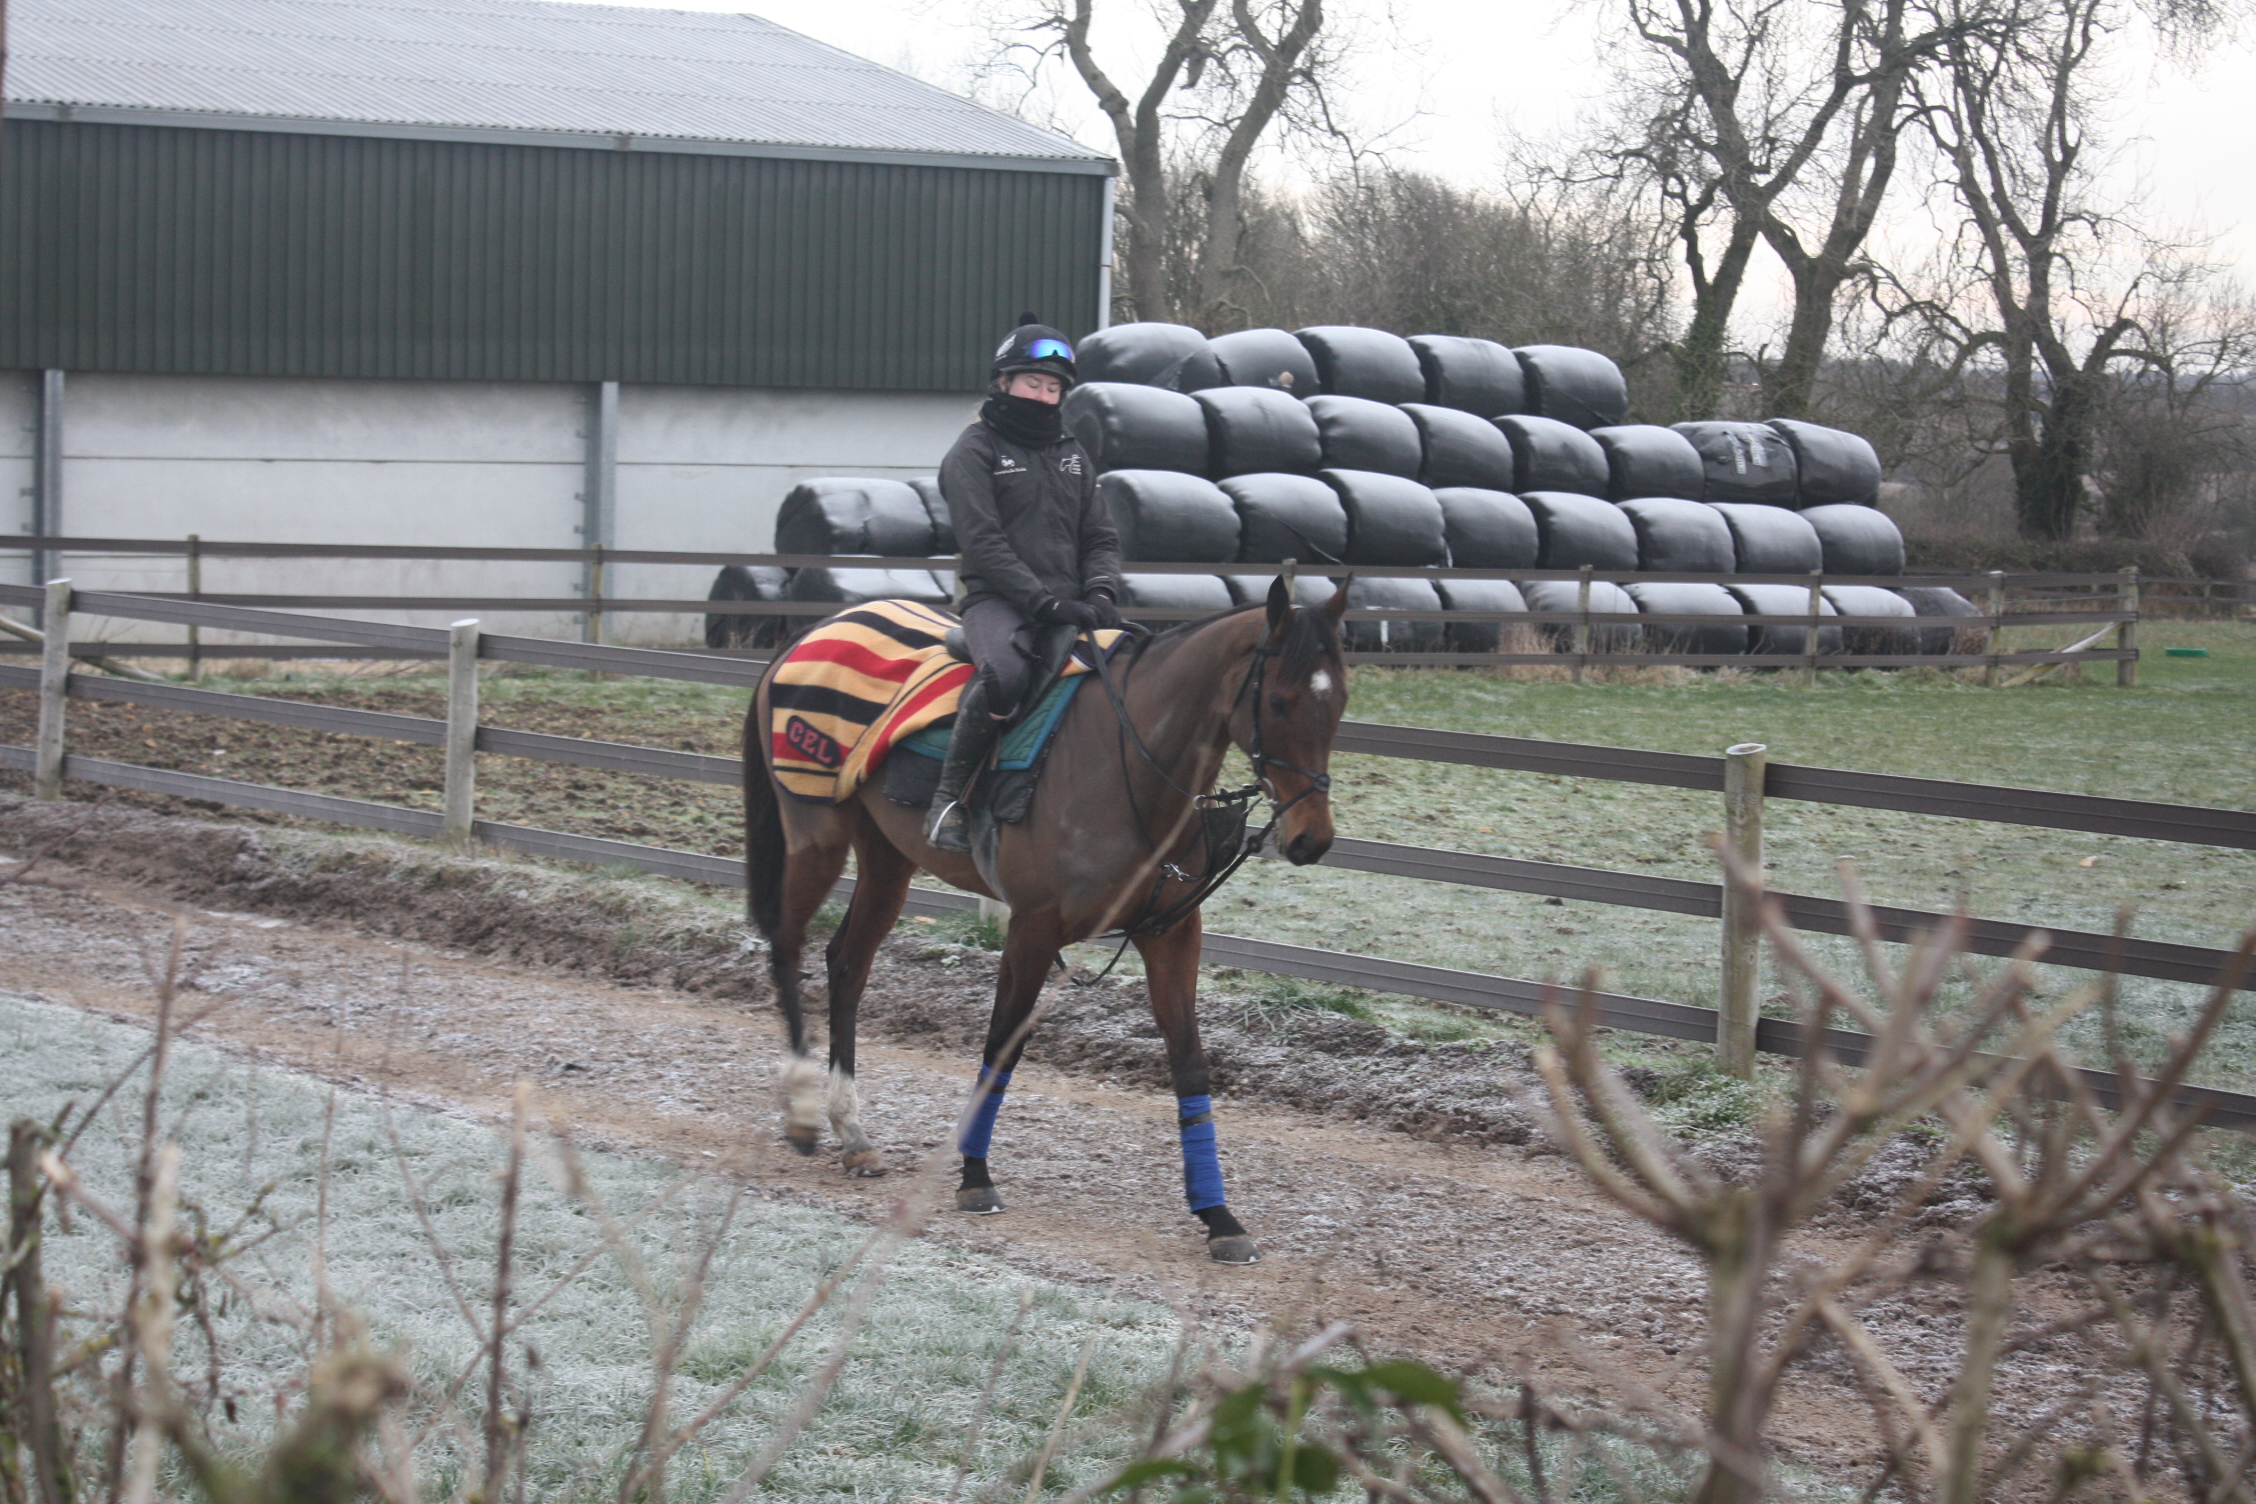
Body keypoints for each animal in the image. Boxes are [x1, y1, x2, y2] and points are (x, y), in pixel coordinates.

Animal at [739, 577, 1344, 1262]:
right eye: (1281, 701)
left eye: (1339, 703)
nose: (1312, 838)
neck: (1124, 762)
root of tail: (817, 628)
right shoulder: (1032, 928)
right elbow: (1002, 1044)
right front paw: (975, 1177)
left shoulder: (1169, 936)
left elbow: (1190, 1061)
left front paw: (1218, 1215)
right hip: (815, 838)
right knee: (787, 946)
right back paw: (803, 1113)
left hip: (887, 860)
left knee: (847, 966)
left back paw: (852, 1132)